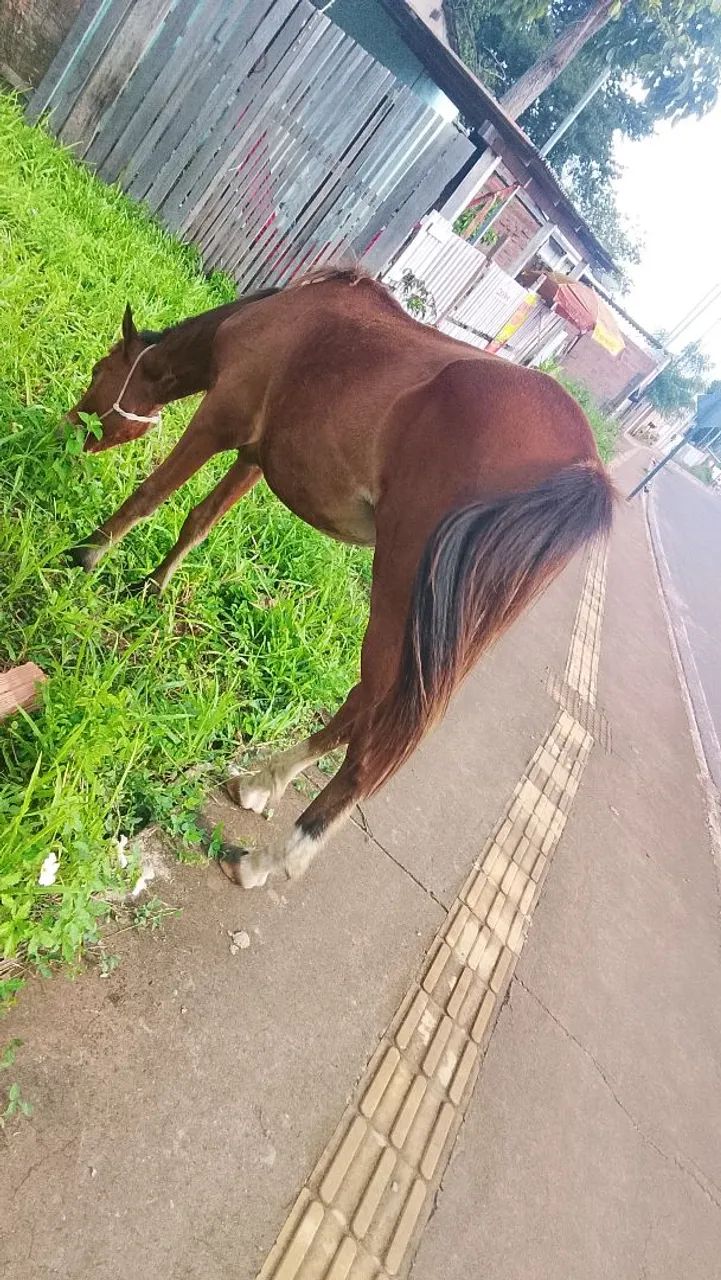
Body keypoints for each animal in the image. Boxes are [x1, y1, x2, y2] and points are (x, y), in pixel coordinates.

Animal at [66, 269, 615, 889]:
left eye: (102, 369)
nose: (72, 427)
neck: (278, 315)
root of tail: (583, 472)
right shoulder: (256, 455)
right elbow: (199, 521)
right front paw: (154, 586)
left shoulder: (220, 418)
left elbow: (150, 496)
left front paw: (87, 555)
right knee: (362, 707)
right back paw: (260, 782)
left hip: (402, 599)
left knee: (372, 742)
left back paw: (265, 861)